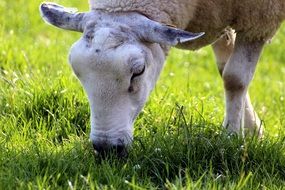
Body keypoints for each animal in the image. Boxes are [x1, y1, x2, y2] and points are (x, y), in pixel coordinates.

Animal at [40, 0, 284, 156]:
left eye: (138, 71)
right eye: (77, 72)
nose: (107, 149)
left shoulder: (258, 20)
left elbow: (234, 78)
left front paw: (231, 138)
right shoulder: (221, 16)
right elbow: (224, 68)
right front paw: (252, 132)